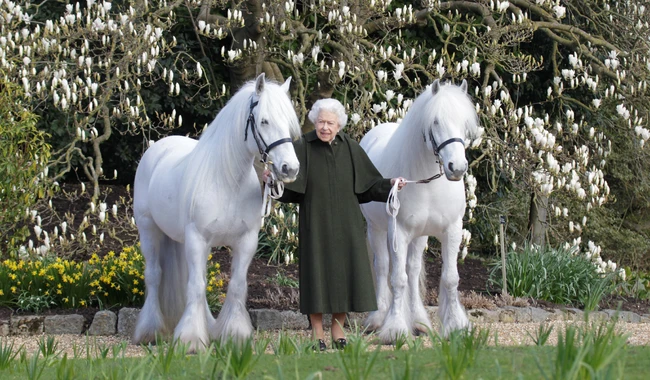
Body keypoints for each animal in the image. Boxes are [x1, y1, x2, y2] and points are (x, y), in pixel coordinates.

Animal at [132, 73, 304, 350]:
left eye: (289, 123)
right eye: (264, 120)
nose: (290, 168)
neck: (227, 181)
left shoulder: (246, 241)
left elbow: (235, 286)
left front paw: (234, 334)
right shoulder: (197, 239)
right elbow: (196, 286)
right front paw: (191, 339)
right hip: (149, 230)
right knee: (154, 276)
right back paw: (150, 331)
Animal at [362, 78, 478, 342]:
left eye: (464, 123)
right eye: (435, 121)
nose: (457, 167)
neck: (428, 182)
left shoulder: (452, 230)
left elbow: (450, 278)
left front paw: (456, 325)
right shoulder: (399, 232)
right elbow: (397, 279)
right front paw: (394, 329)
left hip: (420, 236)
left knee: (413, 271)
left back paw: (418, 321)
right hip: (377, 230)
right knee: (383, 267)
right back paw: (378, 318)